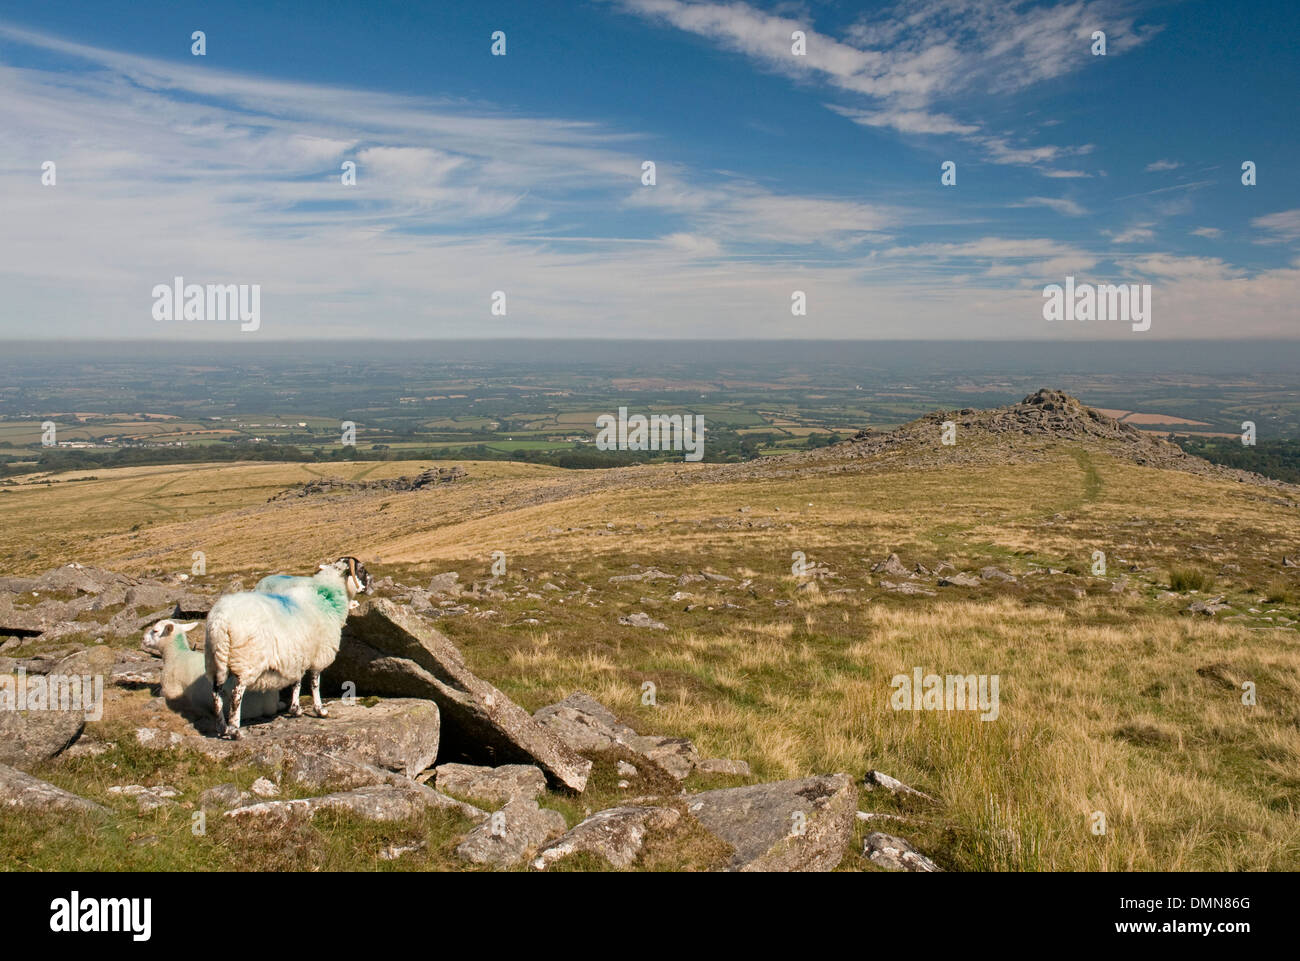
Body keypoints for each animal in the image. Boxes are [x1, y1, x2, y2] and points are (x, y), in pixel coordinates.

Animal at [202, 556, 374, 738]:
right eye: (361, 569)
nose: (372, 582)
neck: (325, 596)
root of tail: (221, 621)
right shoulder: (318, 654)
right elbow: (314, 683)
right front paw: (320, 710)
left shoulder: (298, 654)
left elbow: (296, 682)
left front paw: (295, 709)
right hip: (246, 662)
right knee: (235, 695)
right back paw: (235, 731)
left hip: (215, 660)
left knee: (216, 693)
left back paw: (222, 728)